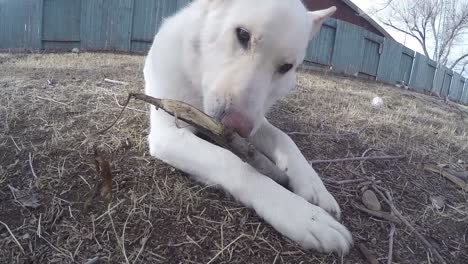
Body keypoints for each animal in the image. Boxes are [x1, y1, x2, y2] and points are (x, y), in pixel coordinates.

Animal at [144, 0, 352, 255]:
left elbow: (284, 138)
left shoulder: (256, 121)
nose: (237, 127)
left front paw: (314, 185)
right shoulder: (168, 134)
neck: (198, 84)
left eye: (286, 67)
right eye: (242, 35)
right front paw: (304, 216)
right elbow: (233, 162)